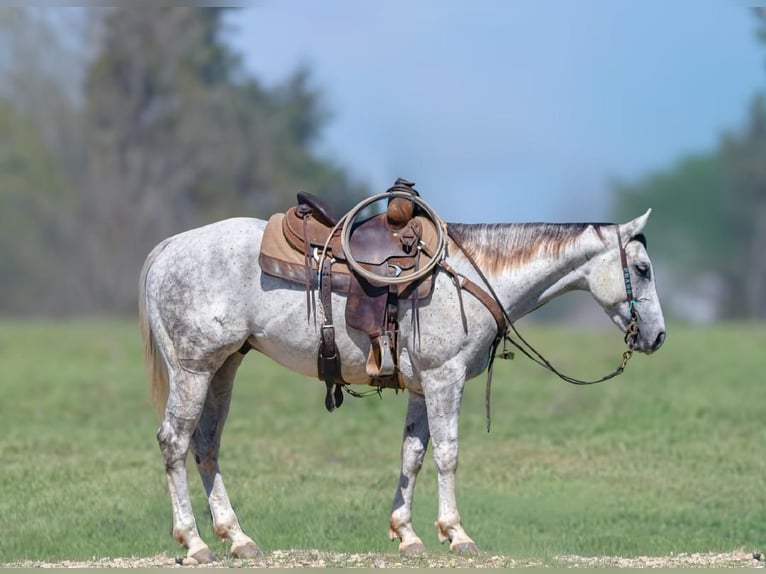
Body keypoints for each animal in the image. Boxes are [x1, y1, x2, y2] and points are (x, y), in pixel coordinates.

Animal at [139, 205, 666, 563]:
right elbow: (448, 454)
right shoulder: (445, 378)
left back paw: (238, 538)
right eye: (642, 269)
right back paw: (194, 542)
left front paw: (407, 535)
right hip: (193, 369)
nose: (657, 336)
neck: (468, 277)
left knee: (206, 445)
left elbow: (412, 454)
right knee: (174, 442)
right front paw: (457, 534)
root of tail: (168, 249)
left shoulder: (421, 386)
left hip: (223, 367)